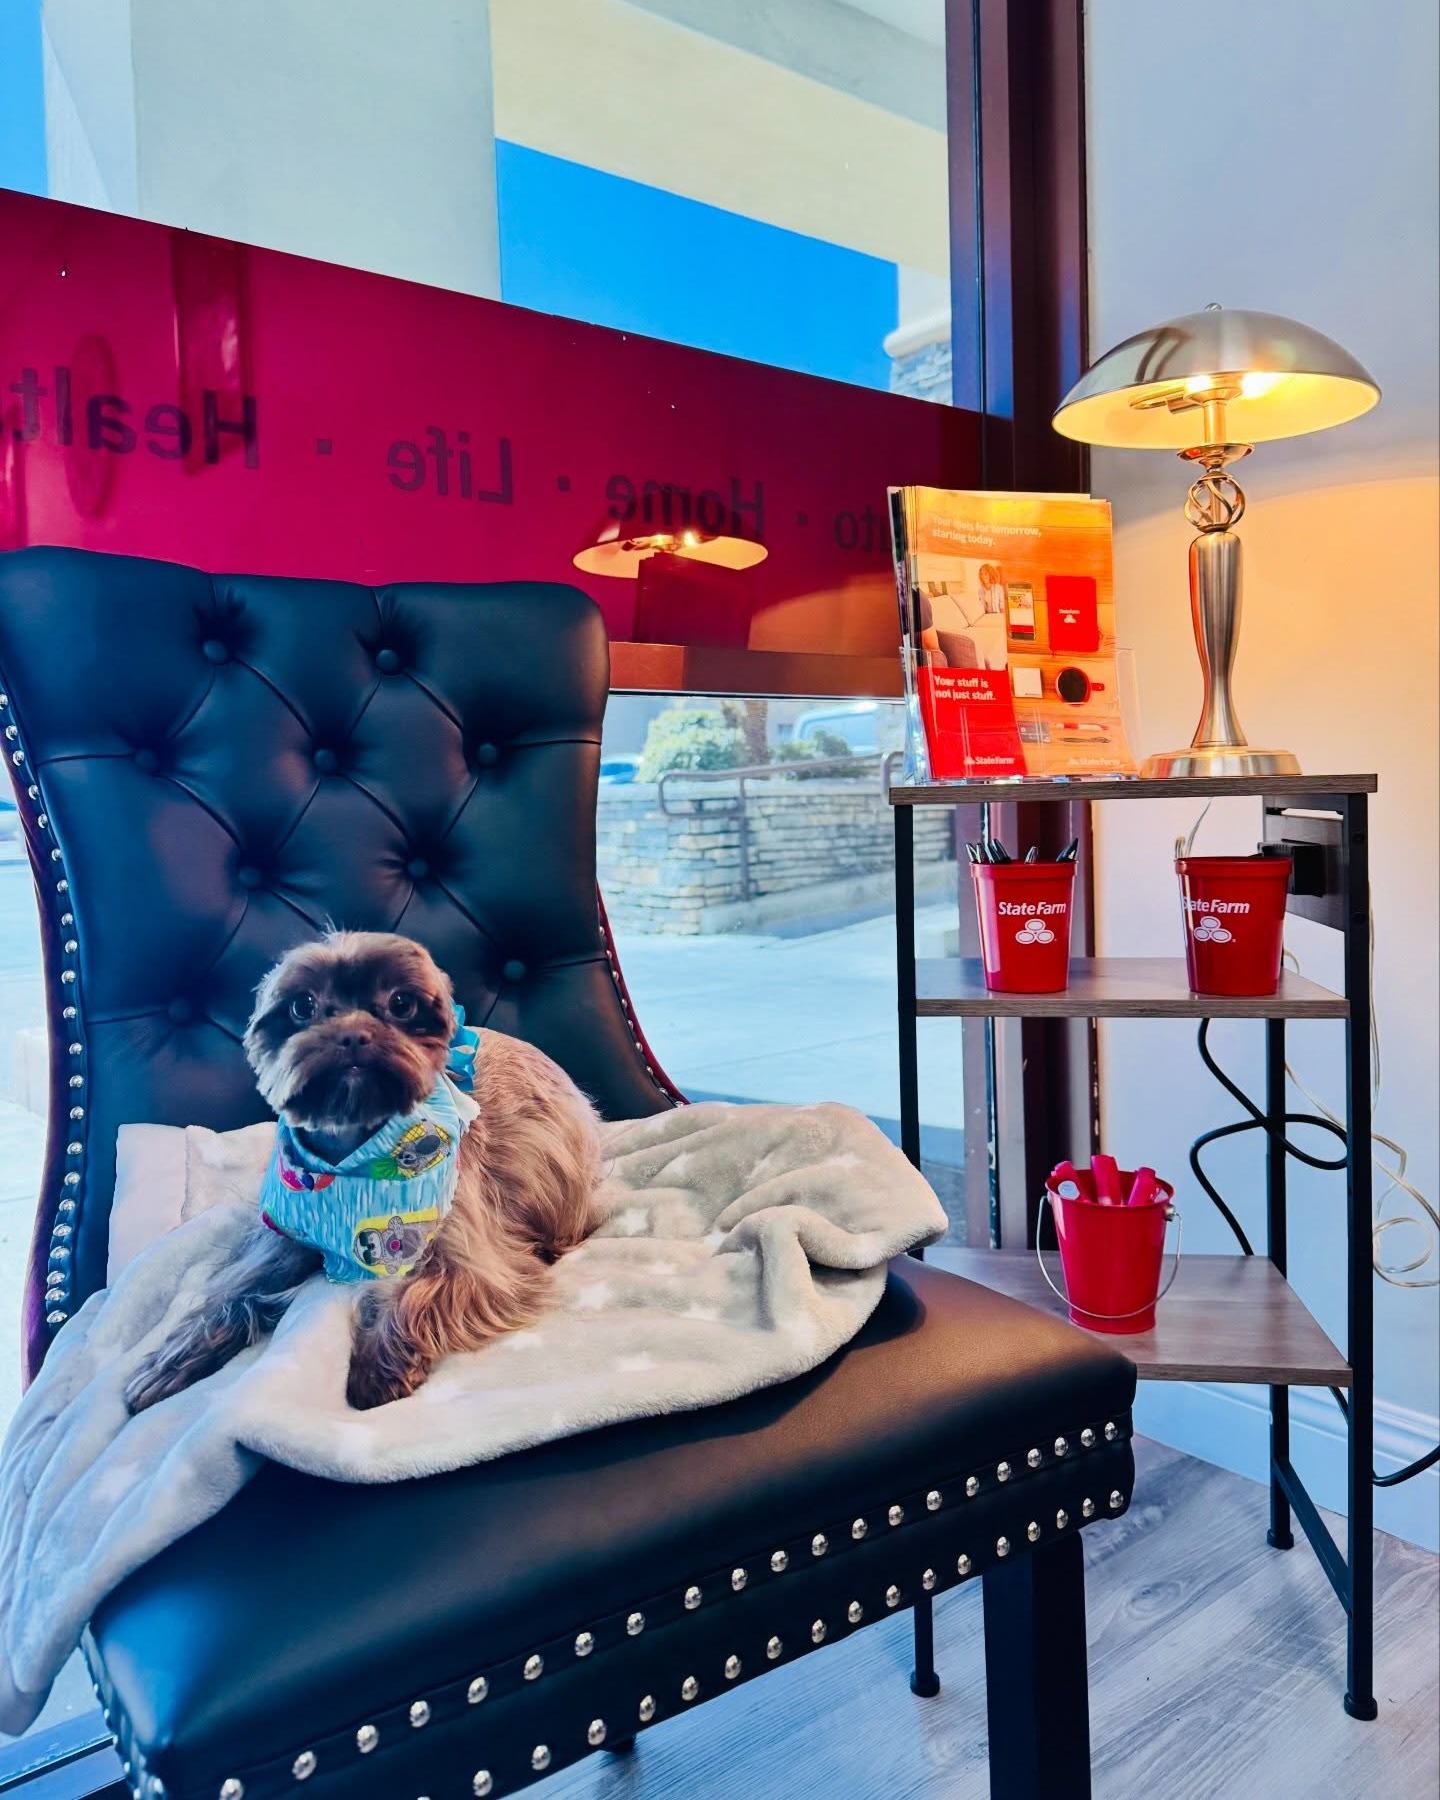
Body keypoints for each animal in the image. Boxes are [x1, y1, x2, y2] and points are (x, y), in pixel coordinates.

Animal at [124, 931, 602, 1412]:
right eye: (302, 1006)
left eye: (401, 1004)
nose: (353, 1033)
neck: (350, 1162)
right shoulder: (282, 1238)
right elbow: (233, 1290)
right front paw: (173, 1359)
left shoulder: (476, 1266)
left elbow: (419, 1292)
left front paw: (375, 1366)